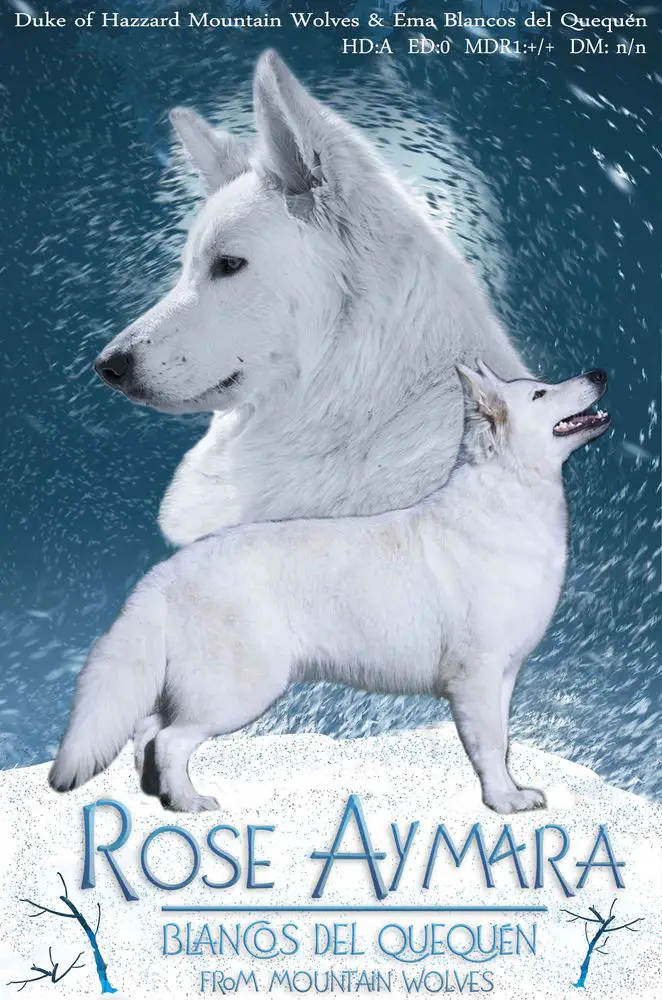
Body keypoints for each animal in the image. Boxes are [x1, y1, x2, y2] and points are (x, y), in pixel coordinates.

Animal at [49, 365, 610, 814]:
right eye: (540, 394)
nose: (599, 372)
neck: (509, 500)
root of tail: (165, 572)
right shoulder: (477, 676)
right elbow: (491, 745)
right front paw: (503, 803)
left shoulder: (505, 676)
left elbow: (506, 741)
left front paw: (510, 793)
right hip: (239, 691)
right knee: (168, 739)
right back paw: (188, 802)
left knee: (146, 731)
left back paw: (158, 797)